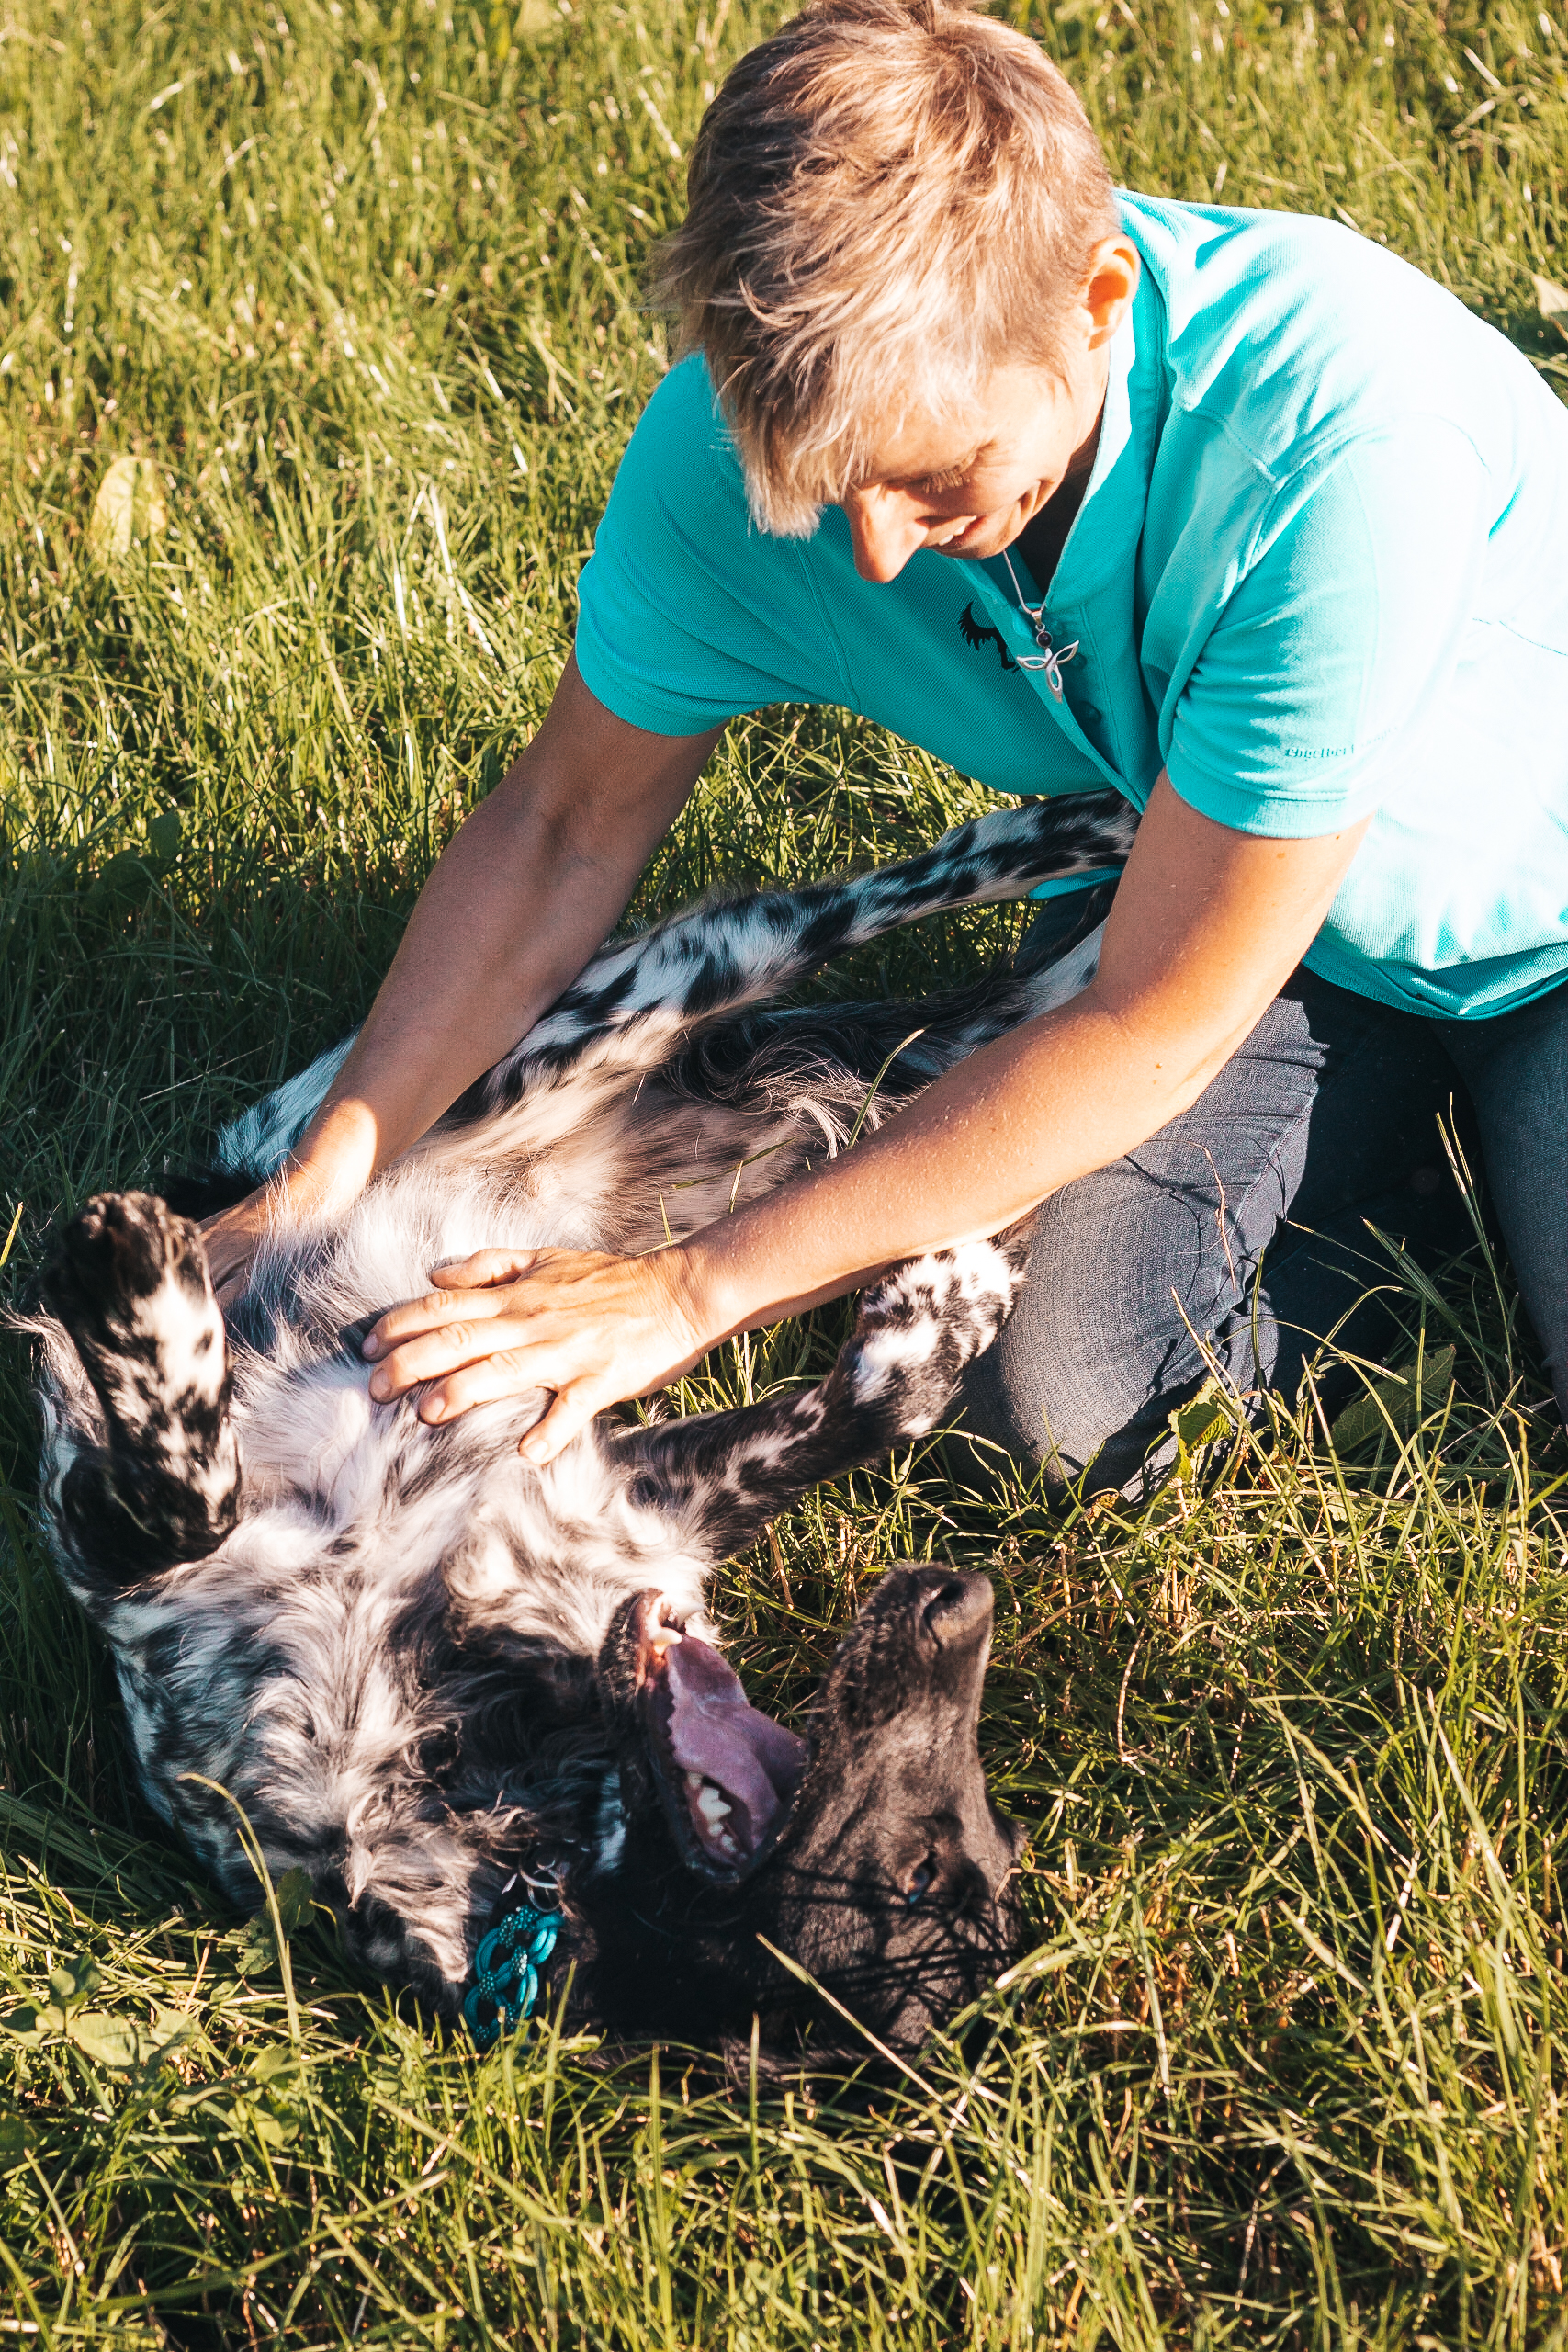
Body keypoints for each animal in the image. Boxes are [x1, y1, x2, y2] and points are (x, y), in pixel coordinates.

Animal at [24, 786, 1128, 2060]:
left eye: (922, 1873)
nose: (961, 1599)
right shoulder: (616, 1477)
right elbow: (882, 1398)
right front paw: (958, 1282)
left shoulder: (136, 1565)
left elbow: (183, 1486)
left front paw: (139, 1293)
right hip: (583, 1038)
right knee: (925, 935)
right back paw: (1094, 831)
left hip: (630, 1011)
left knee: (875, 931)